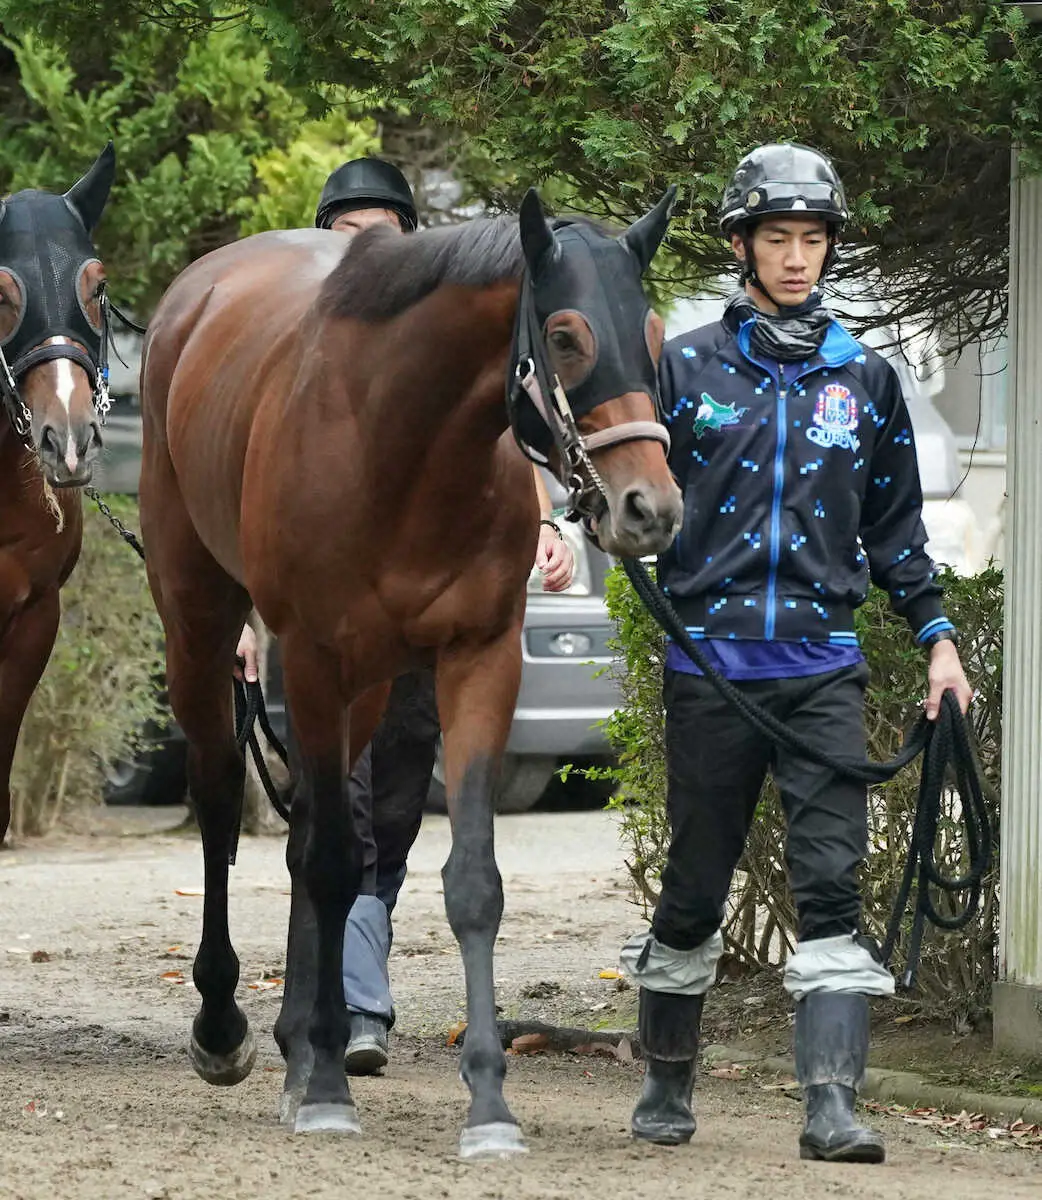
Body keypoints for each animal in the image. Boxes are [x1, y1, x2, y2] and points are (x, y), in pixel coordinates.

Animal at [138, 192, 681, 1156]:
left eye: (653, 334)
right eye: (567, 337)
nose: (648, 507)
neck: (401, 442)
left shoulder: (479, 658)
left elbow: (468, 883)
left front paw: (489, 1105)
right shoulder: (311, 656)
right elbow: (326, 864)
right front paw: (323, 1089)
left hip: (370, 686)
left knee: (312, 832)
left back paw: (296, 1042)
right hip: (200, 621)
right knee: (221, 803)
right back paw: (227, 1028)